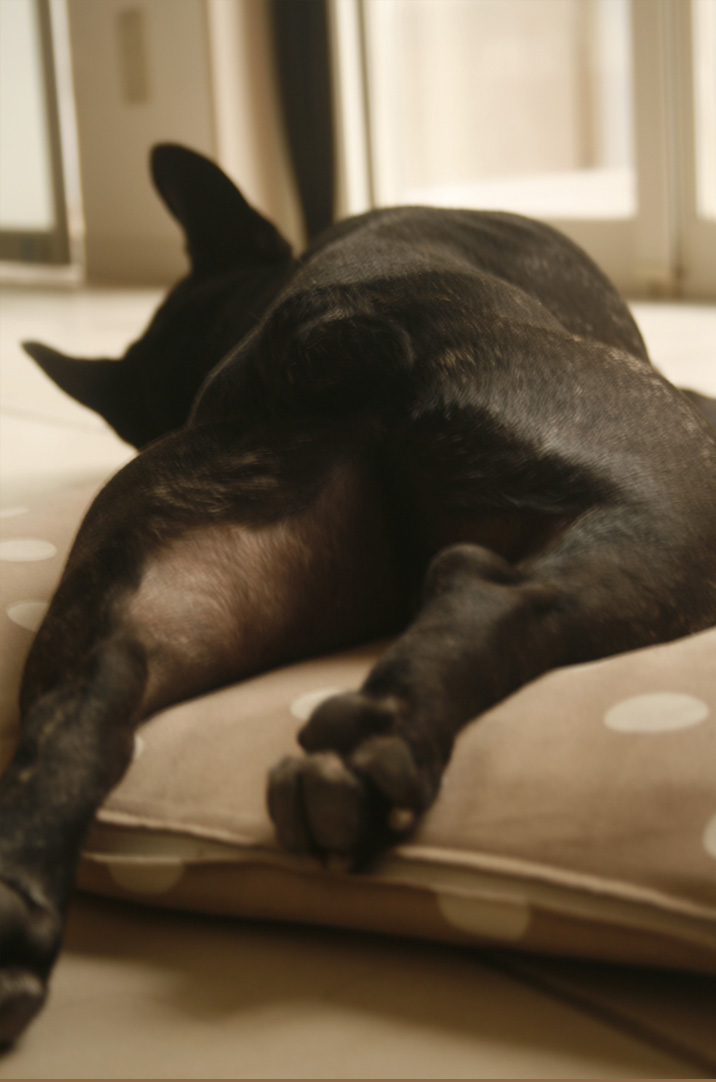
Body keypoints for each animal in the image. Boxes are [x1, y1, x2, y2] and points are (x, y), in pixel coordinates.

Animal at [2, 143, 715, 1046]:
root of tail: (324, 328)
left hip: (155, 574)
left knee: (89, 698)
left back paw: (17, 912)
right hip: (670, 504)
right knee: (503, 599)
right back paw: (375, 758)